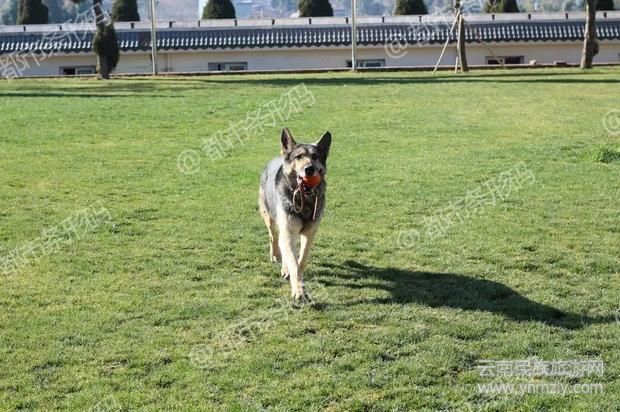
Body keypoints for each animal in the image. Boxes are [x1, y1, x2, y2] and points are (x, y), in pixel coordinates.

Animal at [258, 128, 332, 301]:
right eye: (298, 157)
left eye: (315, 157)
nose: (309, 169)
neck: (304, 198)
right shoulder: (288, 230)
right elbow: (293, 263)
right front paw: (298, 289)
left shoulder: (310, 232)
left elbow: (302, 259)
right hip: (269, 217)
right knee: (274, 237)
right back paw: (276, 256)